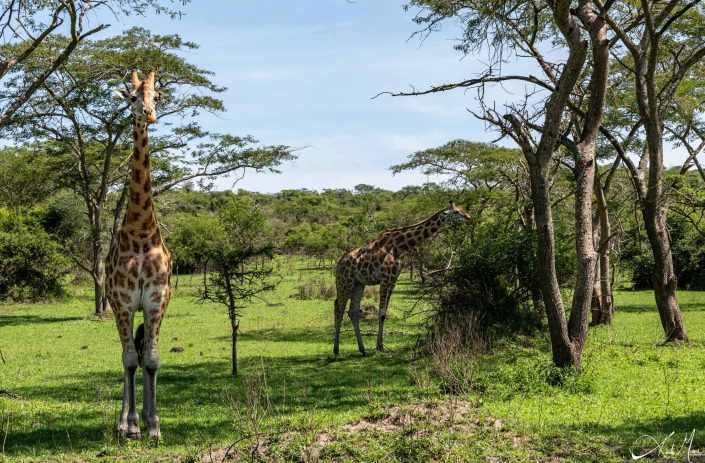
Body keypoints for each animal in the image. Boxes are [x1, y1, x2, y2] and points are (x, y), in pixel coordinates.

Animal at [332, 201, 470, 358]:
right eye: (456, 212)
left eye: (461, 209)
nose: (469, 217)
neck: (399, 245)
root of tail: (338, 265)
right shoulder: (385, 278)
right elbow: (381, 312)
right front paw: (379, 347)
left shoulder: (393, 279)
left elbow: (384, 313)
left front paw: (380, 346)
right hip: (345, 282)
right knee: (339, 309)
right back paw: (336, 351)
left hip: (358, 284)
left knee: (352, 312)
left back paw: (362, 349)